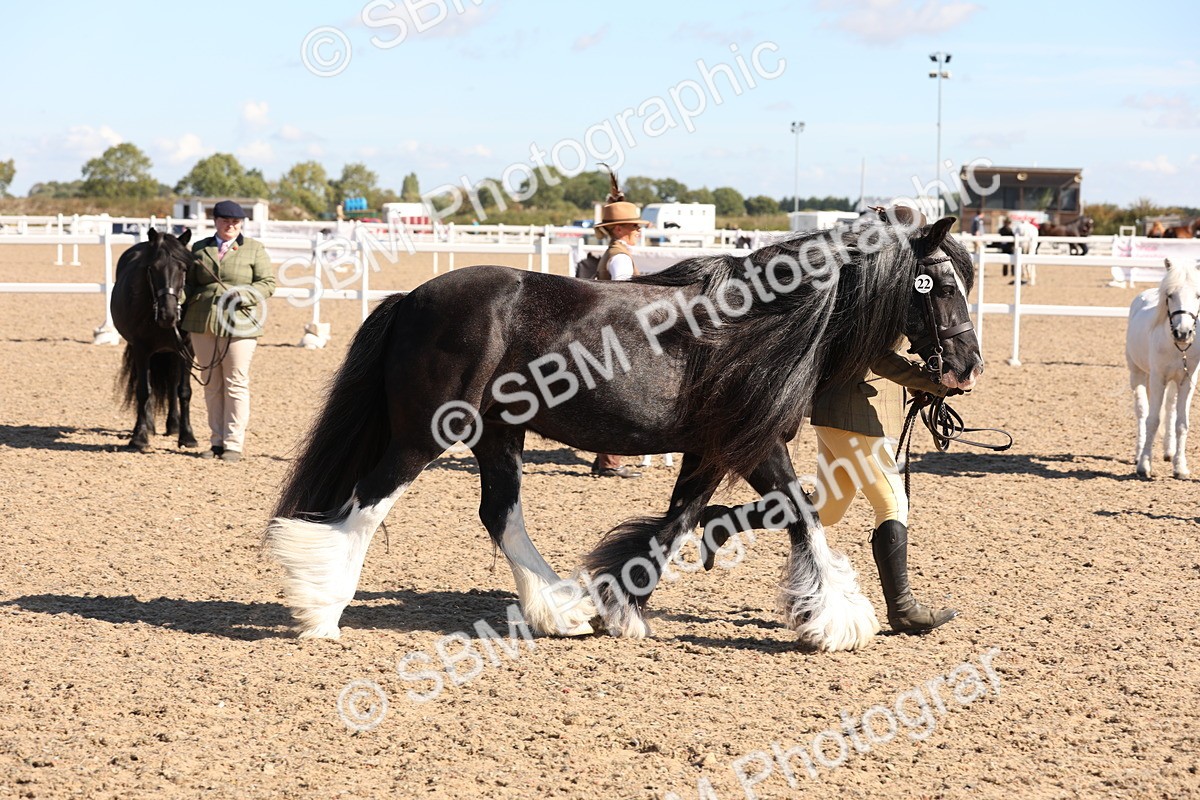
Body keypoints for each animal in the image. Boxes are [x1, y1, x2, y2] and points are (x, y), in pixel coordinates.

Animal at [110, 228, 198, 452]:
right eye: (152, 268)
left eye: (183, 268)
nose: (168, 314)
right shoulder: (141, 349)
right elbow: (144, 390)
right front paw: (139, 437)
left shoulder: (187, 349)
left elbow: (184, 390)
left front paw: (187, 436)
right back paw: (148, 425)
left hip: (172, 352)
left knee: (173, 383)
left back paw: (173, 425)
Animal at [263, 210, 983, 652]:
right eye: (940, 283)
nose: (966, 366)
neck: (764, 320)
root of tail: (411, 298)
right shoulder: (752, 444)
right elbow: (800, 513)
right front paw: (837, 620)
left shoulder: (708, 450)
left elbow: (679, 521)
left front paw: (621, 602)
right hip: (427, 434)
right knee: (366, 504)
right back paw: (320, 610)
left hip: (497, 433)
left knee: (500, 513)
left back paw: (561, 610)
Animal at [1126, 258, 1200, 479]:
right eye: (1170, 295)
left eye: (1198, 295)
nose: (1183, 333)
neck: (1176, 347)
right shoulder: (1157, 379)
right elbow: (1152, 419)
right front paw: (1144, 465)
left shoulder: (1186, 381)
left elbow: (1181, 423)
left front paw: (1180, 468)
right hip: (1138, 374)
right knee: (1142, 411)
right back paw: (1138, 454)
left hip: (1173, 382)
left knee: (1170, 408)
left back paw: (1169, 451)